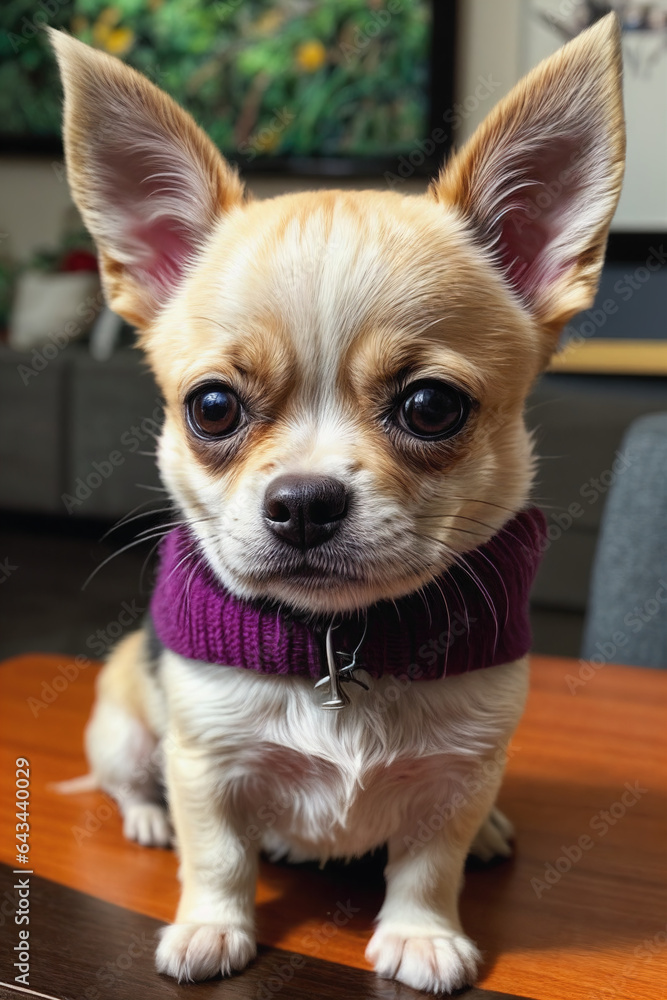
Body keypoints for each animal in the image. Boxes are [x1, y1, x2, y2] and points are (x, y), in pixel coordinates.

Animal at [51, 19, 628, 996]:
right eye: (212, 407)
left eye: (431, 407)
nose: (304, 502)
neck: (339, 639)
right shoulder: (206, 761)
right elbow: (218, 854)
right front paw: (210, 927)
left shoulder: (462, 767)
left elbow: (429, 860)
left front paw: (422, 935)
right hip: (126, 722)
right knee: (129, 778)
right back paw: (145, 817)